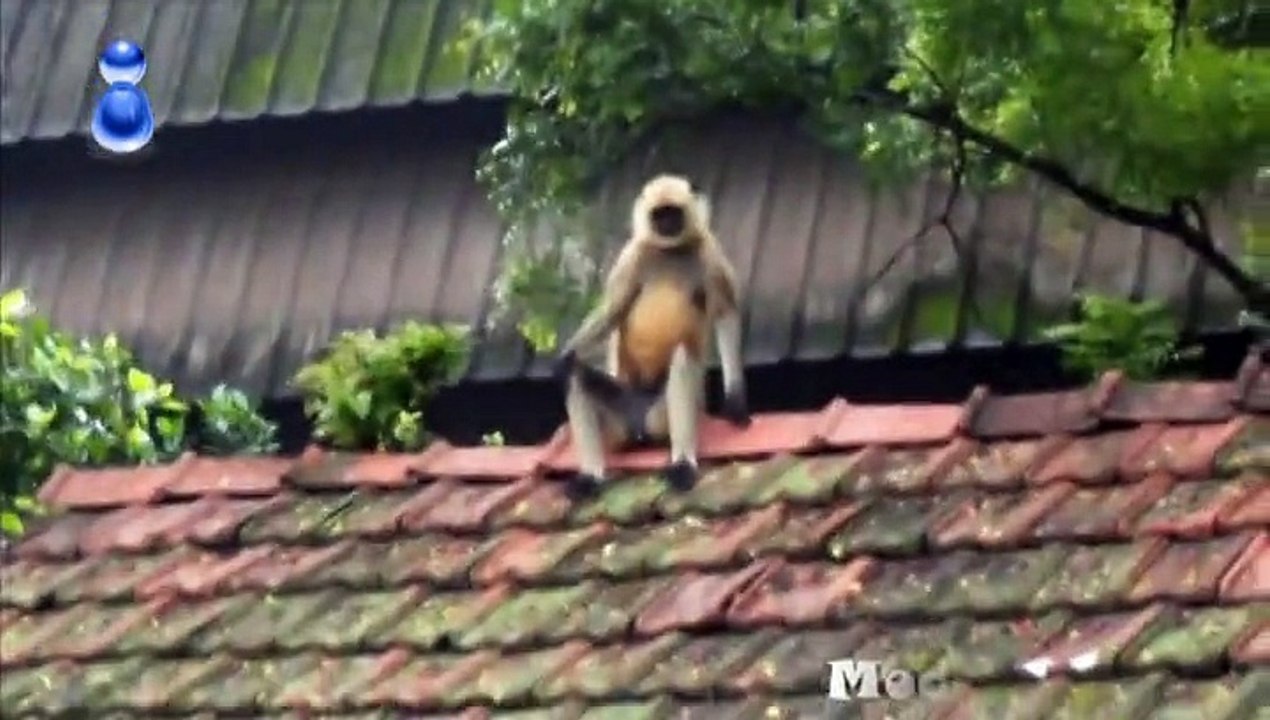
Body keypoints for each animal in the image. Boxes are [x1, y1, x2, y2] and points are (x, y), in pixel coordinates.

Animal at [553, 174, 751, 500]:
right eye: (660, 215)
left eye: (674, 213)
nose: (667, 225)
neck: (670, 251)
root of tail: (639, 429)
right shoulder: (633, 254)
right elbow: (612, 311)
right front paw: (563, 357)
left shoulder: (709, 250)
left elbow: (726, 314)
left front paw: (736, 401)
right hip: (619, 424)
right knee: (576, 373)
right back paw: (591, 476)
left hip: (663, 417)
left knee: (682, 357)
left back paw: (683, 463)